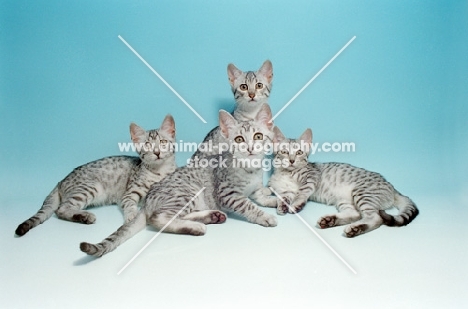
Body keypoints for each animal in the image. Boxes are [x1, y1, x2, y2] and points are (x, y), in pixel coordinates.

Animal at [15, 115, 177, 236]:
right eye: (148, 145)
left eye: (163, 142)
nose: (157, 152)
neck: (159, 171)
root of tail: (61, 180)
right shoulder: (129, 194)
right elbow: (130, 205)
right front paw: (132, 217)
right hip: (90, 187)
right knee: (60, 209)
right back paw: (84, 216)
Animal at [80, 103, 278, 258]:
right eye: (239, 139)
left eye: (258, 136)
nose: (250, 148)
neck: (250, 168)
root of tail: (148, 199)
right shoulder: (228, 193)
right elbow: (248, 205)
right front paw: (265, 216)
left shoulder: (255, 188)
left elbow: (261, 196)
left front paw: (276, 200)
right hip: (186, 192)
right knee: (158, 218)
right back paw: (196, 227)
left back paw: (210, 216)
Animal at [266, 126, 420, 237]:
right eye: (284, 152)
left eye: (299, 152)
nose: (292, 160)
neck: (286, 173)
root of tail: (392, 186)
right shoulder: (285, 190)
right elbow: (284, 197)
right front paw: (282, 206)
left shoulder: (311, 177)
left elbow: (302, 192)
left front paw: (296, 204)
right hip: (345, 200)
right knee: (356, 214)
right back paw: (330, 221)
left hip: (362, 193)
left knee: (376, 218)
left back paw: (355, 229)